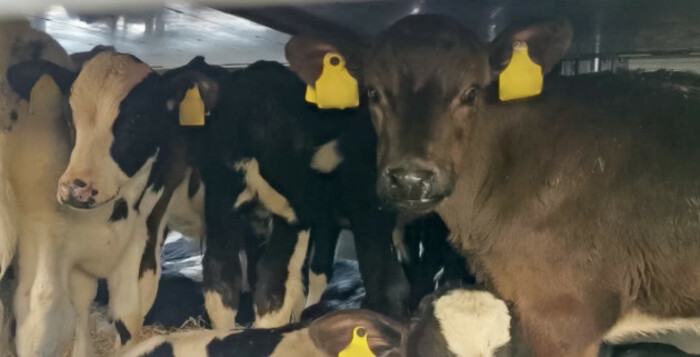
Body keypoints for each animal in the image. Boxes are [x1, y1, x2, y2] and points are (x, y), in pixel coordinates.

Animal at [7, 48, 197, 356]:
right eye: (69, 114)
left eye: (137, 120)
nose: (76, 188)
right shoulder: (43, 239)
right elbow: (42, 319)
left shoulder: (144, 242)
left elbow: (128, 316)